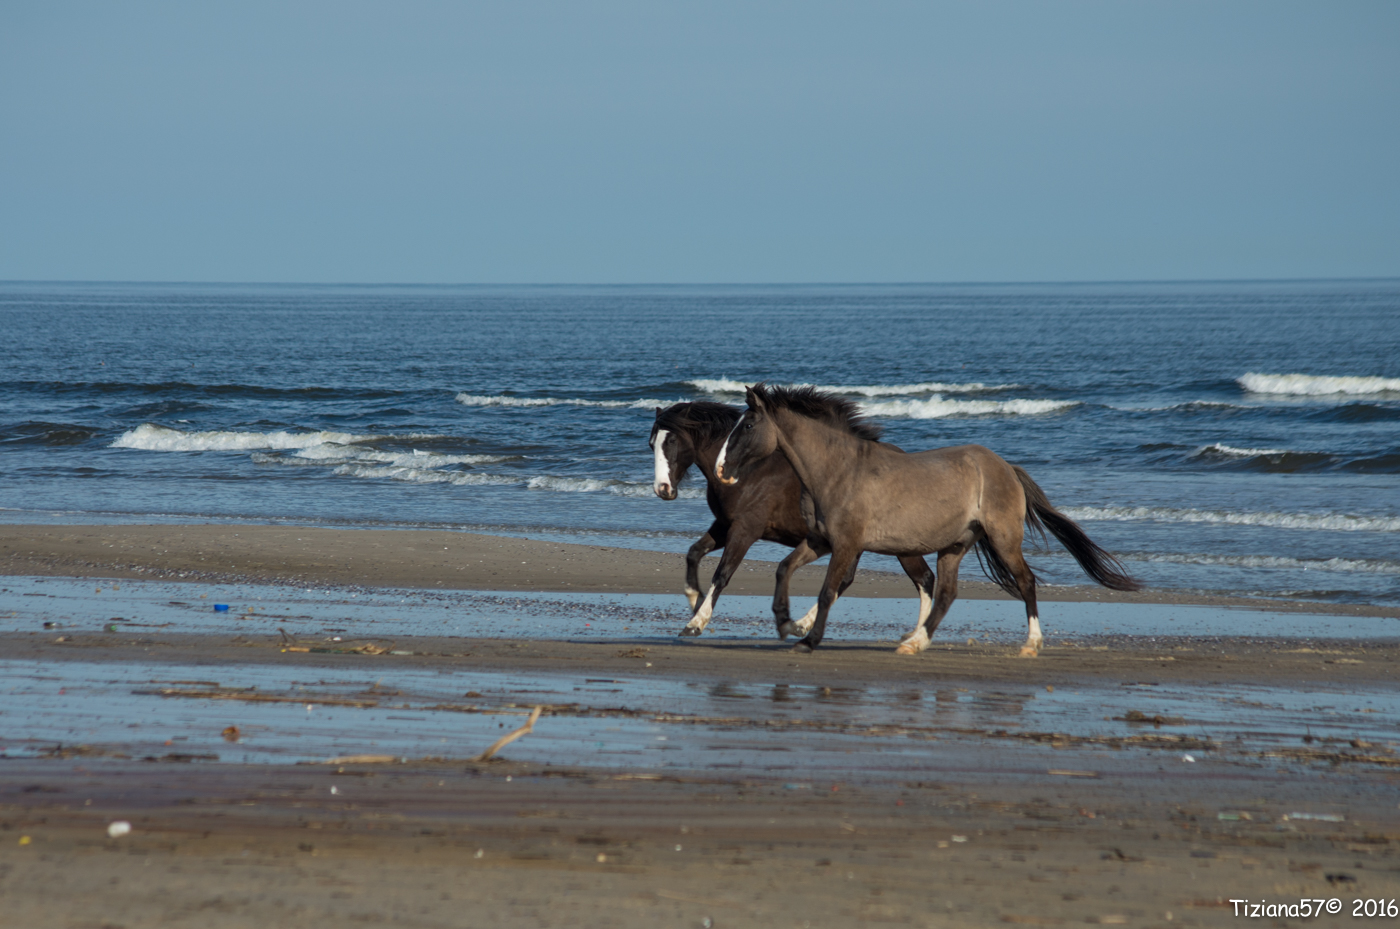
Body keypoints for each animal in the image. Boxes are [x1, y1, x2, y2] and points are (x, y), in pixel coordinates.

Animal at [650, 401, 935, 639]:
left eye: (672, 440)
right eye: (652, 444)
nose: (663, 489)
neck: (748, 473)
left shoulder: (745, 530)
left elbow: (722, 574)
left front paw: (696, 622)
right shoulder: (724, 525)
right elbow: (693, 553)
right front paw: (695, 602)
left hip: (901, 545)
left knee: (924, 578)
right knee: (846, 581)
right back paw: (801, 625)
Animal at [714, 384, 1140, 655]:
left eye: (747, 426)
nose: (722, 469)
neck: (837, 471)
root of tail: (1005, 468)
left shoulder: (847, 545)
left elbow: (827, 591)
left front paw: (807, 639)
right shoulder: (821, 541)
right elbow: (784, 569)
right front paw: (786, 622)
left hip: (1003, 540)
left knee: (1026, 582)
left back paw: (1030, 645)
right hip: (954, 546)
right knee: (947, 592)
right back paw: (914, 642)